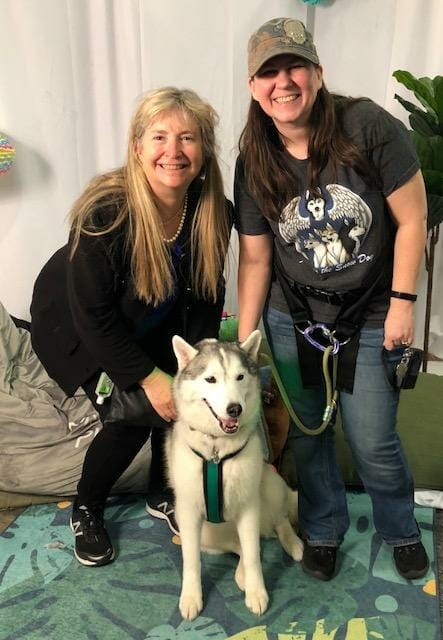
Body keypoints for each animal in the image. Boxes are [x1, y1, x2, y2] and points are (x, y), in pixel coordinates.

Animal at [166, 332, 306, 624]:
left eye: (240, 377)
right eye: (210, 379)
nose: (234, 409)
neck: (216, 451)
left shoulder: (249, 506)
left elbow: (253, 556)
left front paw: (257, 592)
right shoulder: (188, 513)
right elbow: (191, 561)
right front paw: (191, 597)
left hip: (268, 483)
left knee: (276, 523)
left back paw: (294, 544)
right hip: (208, 533)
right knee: (240, 545)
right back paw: (241, 572)